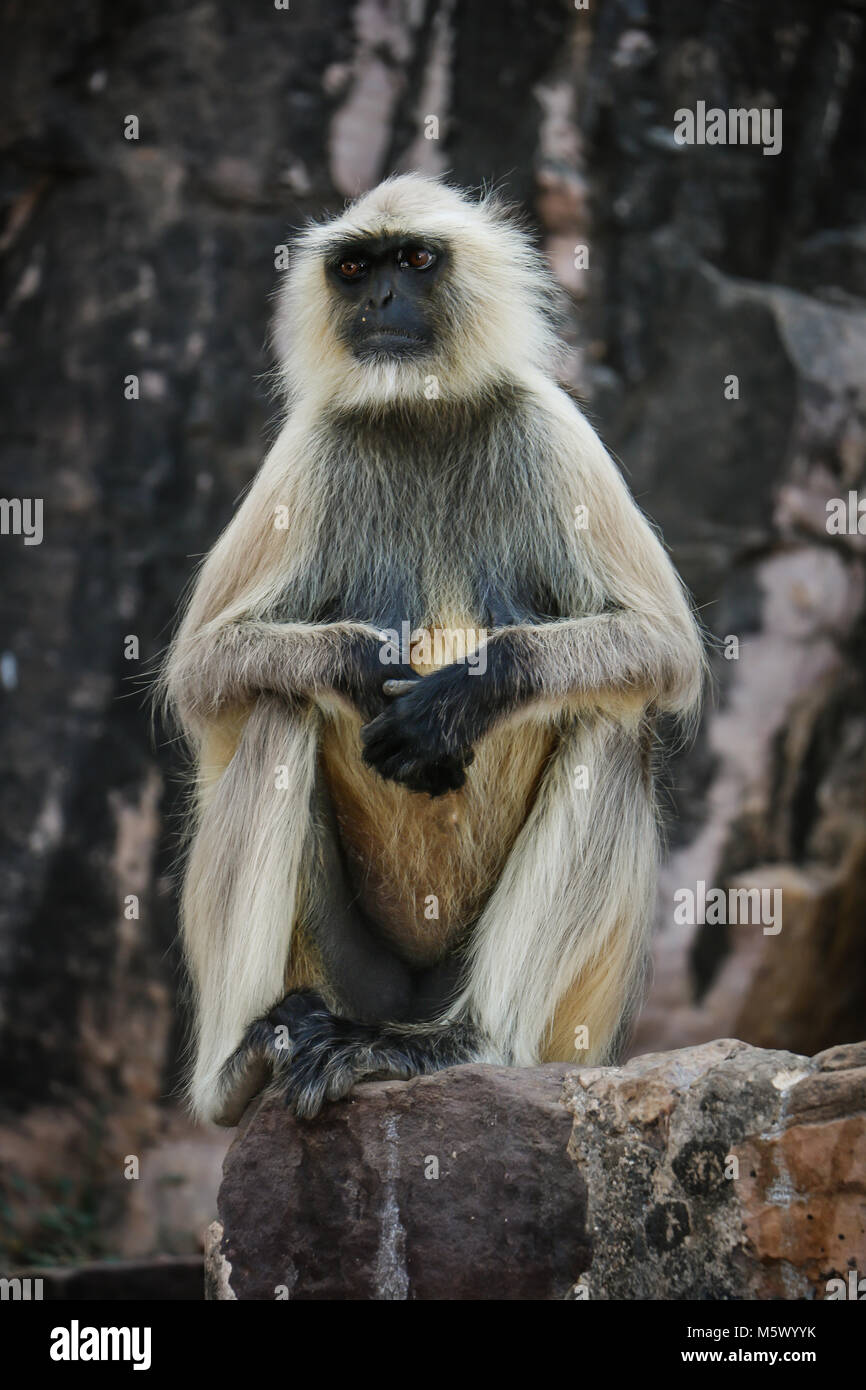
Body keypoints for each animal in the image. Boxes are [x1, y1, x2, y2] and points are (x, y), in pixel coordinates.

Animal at [162, 176, 706, 1128]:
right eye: (354, 268)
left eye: (415, 259)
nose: (381, 300)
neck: (422, 410)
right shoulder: (315, 442)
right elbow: (205, 672)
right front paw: (364, 667)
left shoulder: (547, 420)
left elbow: (663, 648)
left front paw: (462, 698)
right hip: (345, 978)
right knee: (277, 706)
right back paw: (243, 1067)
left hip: (565, 1035)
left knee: (612, 725)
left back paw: (458, 1043)